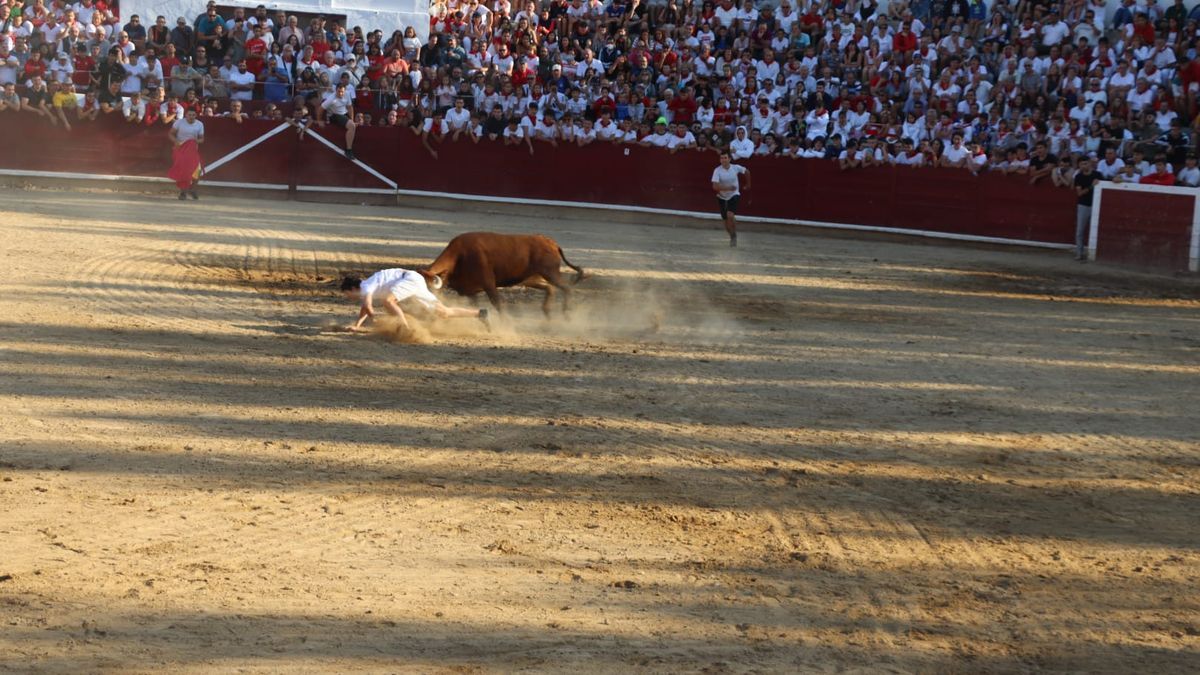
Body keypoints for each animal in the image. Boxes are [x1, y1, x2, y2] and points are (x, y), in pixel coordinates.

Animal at [420, 230, 588, 314]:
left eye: (429, 288)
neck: (460, 256)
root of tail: (551, 242)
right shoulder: (470, 291)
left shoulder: (488, 284)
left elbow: (498, 304)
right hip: (530, 278)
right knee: (550, 288)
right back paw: (547, 313)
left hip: (550, 272)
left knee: (566, 288)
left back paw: (566, 313)